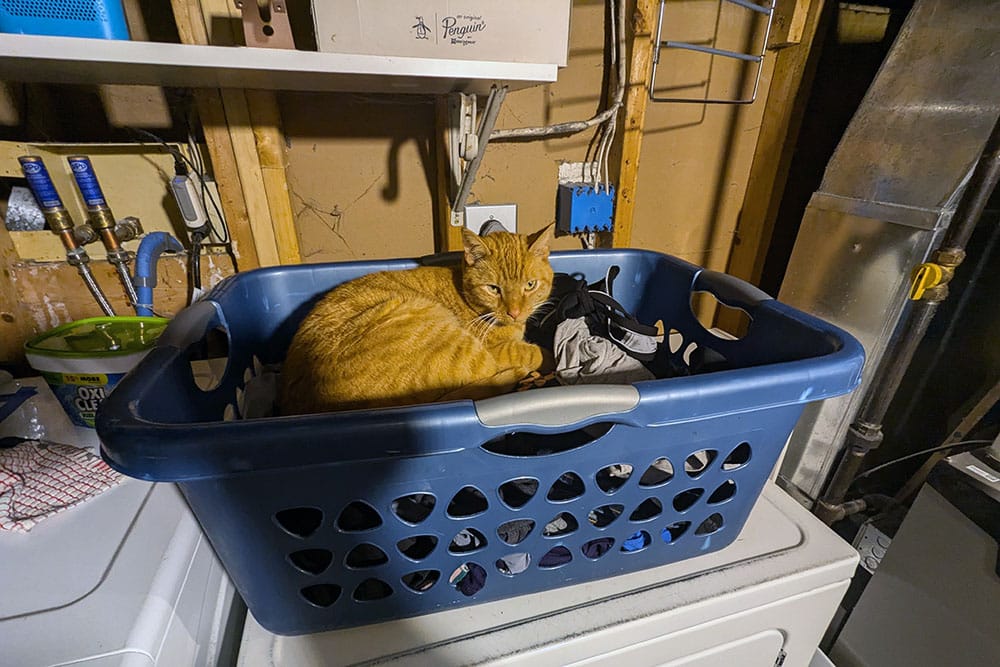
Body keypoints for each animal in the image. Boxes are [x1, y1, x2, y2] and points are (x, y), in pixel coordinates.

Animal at [280, 224, 556, 414]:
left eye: (530, 285)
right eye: (493, 289)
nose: (514, 312)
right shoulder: (494, 351)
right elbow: (527, 351)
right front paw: (549, 355)